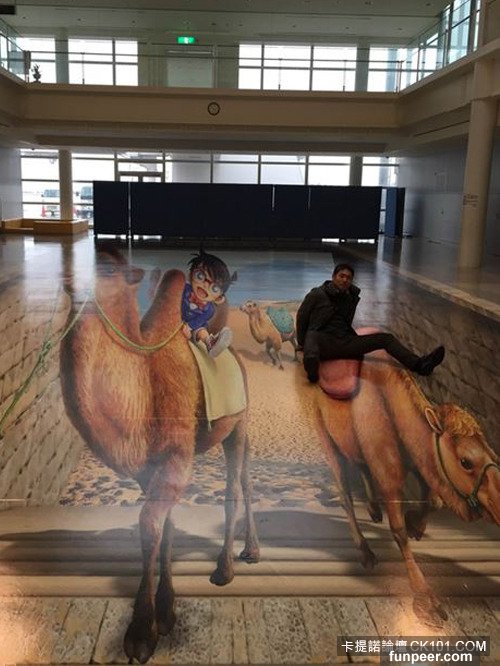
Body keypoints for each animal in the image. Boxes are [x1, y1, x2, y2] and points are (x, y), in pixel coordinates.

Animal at [60, 247, 260, 664]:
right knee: (247, 478)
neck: (143, 387)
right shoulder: (148, 470)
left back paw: (226, 569)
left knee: (234, 485)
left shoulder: (176, 458)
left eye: (107, 268)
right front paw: (166, 612)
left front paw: (140, 633)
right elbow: (165, 526)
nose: (70, 279)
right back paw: (250, 551)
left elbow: (149, 524)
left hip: (238, 422)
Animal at [314, 351, 500, 627]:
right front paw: (427, 602)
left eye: (494, 455)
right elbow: (398, 529)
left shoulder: (420, 460)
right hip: (324, 433)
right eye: (466, 462)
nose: (499, 509)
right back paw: (365, 550)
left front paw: (416, 525)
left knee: (359, 464)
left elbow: (433, 501)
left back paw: (374, 510)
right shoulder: (389, 475)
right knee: (344, 488)